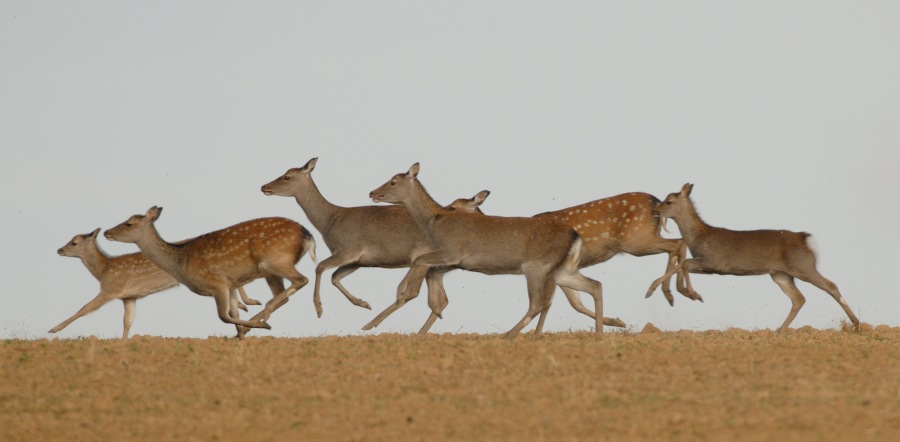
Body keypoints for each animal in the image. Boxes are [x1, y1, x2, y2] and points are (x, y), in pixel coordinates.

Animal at [51, 228, 260, 339]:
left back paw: (248, 303)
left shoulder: (111, 289)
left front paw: (54, 329)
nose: (59, 250)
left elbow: (84, 308)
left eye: (74, 242)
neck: (103, 270)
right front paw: (124, 341)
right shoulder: (129, 297)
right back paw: (245, 304)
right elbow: (127, 321)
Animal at [104, 207, 317, 338]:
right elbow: (233, 313)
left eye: (129, 223)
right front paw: (241, 336)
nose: (107, 232)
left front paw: (253, 329)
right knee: (285, 293)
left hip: (275, 262)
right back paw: (258, 318)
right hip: (272, 270)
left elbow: (223, 316)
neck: (180, 263)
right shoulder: (231, 284)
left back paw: (265, 314)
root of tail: (308, 237)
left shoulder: (216, 282)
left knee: (301, 280)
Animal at [367, 163, 608, 338]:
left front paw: (393, 300)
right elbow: (429, 275)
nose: (372, 192)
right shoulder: (452, 261)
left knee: (538, 303)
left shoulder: (453, 251)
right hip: (562, 269)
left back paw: (508, 335)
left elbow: (418, 262)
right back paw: (598, 333)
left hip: (536, 266)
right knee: (594, 285)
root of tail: (575, 236)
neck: (435, 223)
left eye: (393, 182)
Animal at [646, 183, 860, 332]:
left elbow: (684, 263)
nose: (655, 211)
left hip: (803, 266)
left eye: (669, 201)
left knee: (830, 286)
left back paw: (856, 324)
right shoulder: (712, 268)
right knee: (799, 299)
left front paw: (689, 293)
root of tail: (806, 240)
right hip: (781, 274)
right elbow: (684, 264)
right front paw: (675, 292)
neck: (698, 237)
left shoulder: (713, 261)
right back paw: (779, 331)